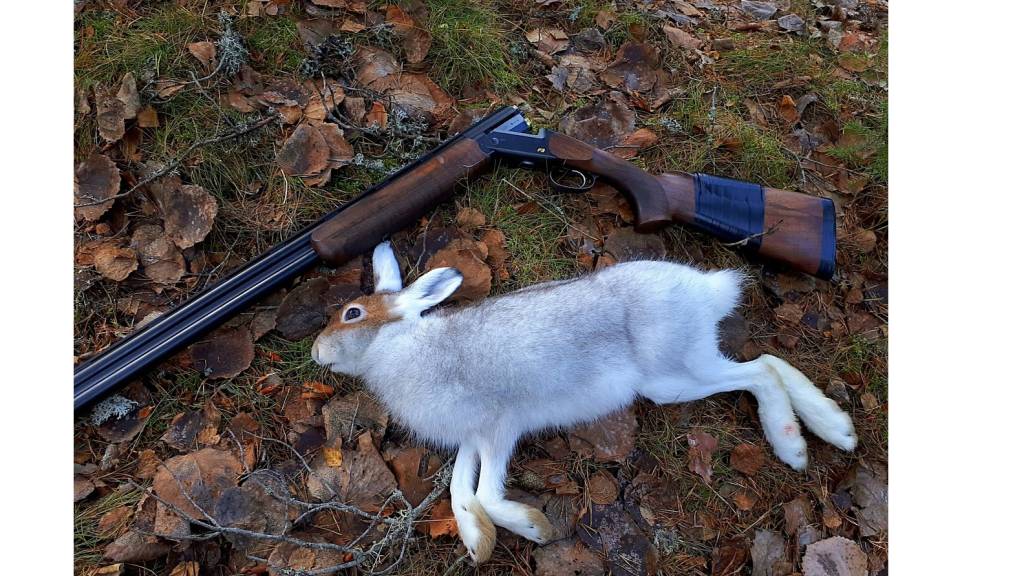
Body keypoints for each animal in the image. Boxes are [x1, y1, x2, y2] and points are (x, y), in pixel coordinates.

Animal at [311, 241, 857, 564]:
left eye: (352, 313)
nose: (316, 351)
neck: (398, 346)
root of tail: (708, 291)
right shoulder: (474, 437)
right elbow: (460, 490)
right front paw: (478, 541)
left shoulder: (499, 428)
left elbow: (485, 493)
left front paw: (534, 529)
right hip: (681, 375)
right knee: (770, 361)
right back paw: (835, 428)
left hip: (676, 368)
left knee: (760, 370)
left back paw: (791, 444)